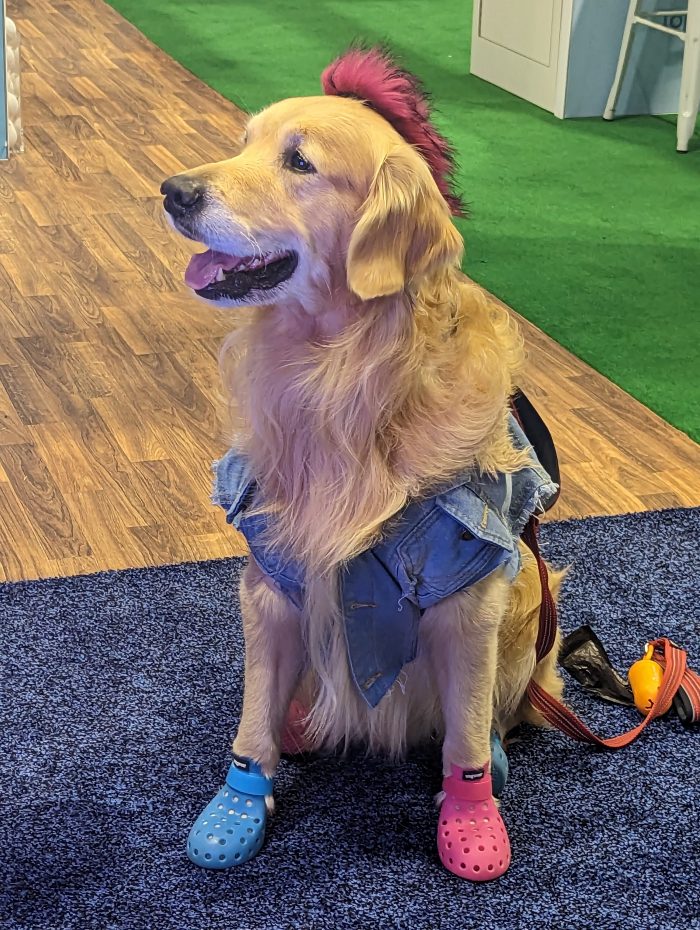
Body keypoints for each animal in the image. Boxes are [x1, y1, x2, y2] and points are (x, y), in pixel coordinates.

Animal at [163, 47, 564, 880]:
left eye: (299, 162)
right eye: (244, 143)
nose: (173, 191)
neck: (341, 376)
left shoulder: (467, 592)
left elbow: (465, 728)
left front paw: (471, 818)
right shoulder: (273, 577)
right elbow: (251, 718)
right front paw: (238, 806)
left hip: (526, 606)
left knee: (489, 714)